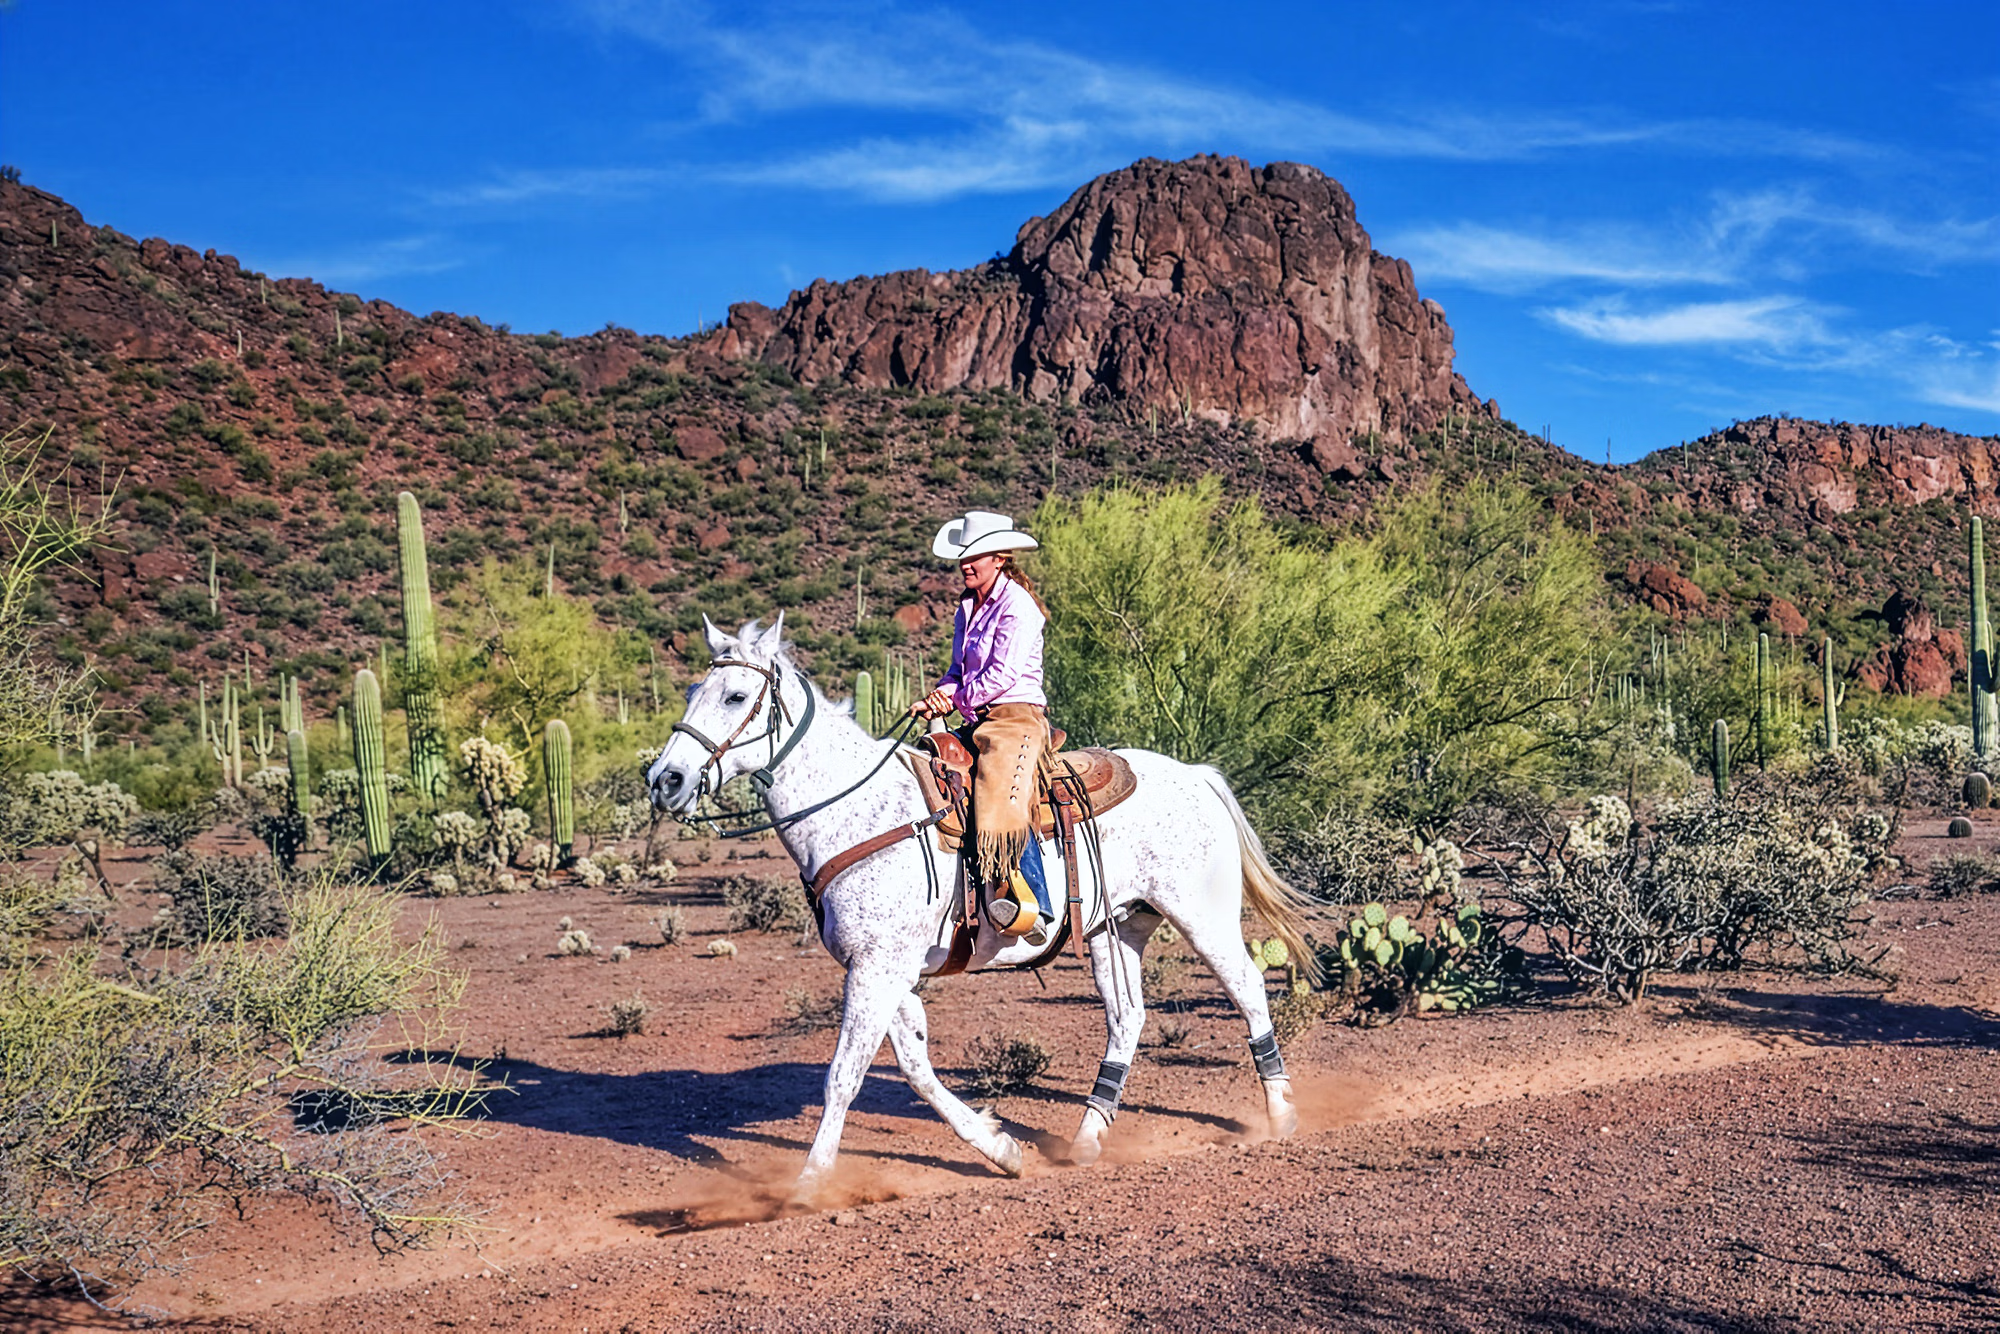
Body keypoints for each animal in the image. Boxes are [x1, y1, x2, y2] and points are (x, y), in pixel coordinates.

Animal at [647, 614, 1315, 1199]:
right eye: (692, 690)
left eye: (736, 696)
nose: (665, 780)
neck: (857, 812)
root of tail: (1196, 774)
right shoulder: (883, 970)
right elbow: (915, 1065)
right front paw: (1001, 1148)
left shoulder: (877, 968)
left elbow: (844, 1075)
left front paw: (808, 1184)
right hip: (1116, 928)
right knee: (1127, 1018)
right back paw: (1088, 1137)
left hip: (1202, 916)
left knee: (1247, 986)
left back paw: (1280, 1112)